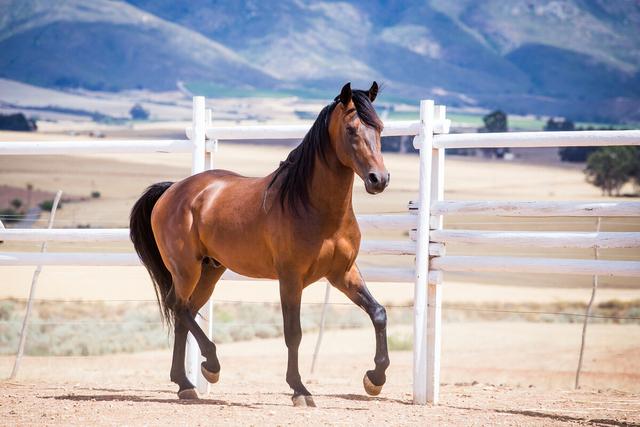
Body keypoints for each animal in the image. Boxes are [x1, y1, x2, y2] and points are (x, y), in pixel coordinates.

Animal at [130, 81, 390, 408]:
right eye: (352, 129)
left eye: (379, 128)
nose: (379, 179)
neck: (311, 205)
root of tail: (172, 189)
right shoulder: (290, 278)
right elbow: (293, 333)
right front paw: (300, 390)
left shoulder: (342, 273)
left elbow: (378, 313)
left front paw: (374, 379)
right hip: (186, 269)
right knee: (178, 306)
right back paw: (210, 366)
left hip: (210, 271)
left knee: (183, 313)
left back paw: (186, 385)